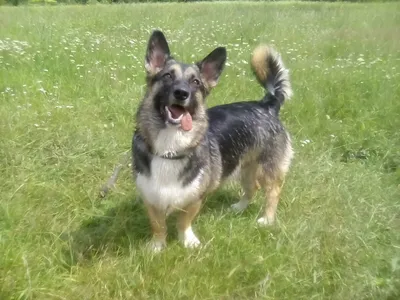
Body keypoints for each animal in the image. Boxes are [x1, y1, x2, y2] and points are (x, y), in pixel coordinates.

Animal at [105, 29, 294, 251]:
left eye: (195, 82)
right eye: (167, 76)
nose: (181, 93)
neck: (170, 146)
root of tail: (267, 104)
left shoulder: (195, 197)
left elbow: (184, 221)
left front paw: (188, 242)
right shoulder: (151, 197)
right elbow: (158, 225)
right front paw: (157, 247)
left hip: (268, 168)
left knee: (273, 192)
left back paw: (267, 219)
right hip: (245, 166)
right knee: (252, 187)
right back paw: (239, 208)